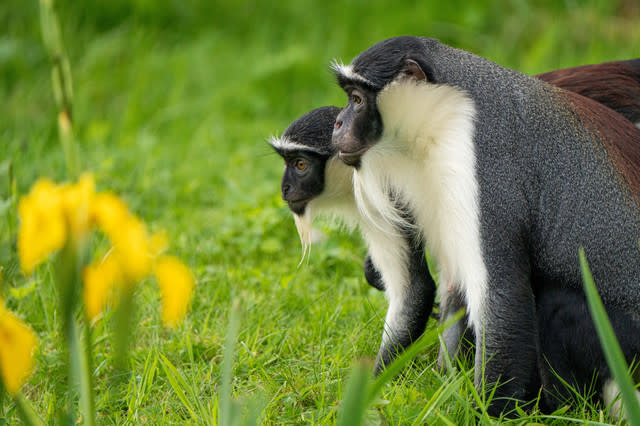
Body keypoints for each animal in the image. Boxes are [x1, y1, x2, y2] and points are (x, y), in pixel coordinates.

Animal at [332, 35, 640, 414]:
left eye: (357, 99)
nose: (338, 123)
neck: (444, 113)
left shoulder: (482, 164)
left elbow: (501, 295)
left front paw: (488, 413)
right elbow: (451, 286)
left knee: (558, 305)